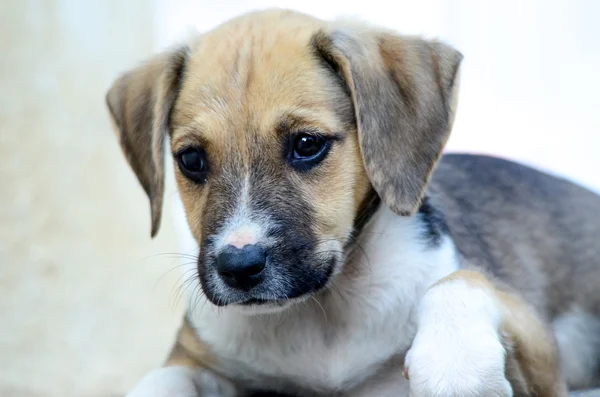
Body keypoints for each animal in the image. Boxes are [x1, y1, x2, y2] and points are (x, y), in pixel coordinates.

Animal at [106, 6, 600, 396]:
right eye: (191, 159)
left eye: (307, 144)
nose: (238, 267)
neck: (324, 314)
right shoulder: (198, 356)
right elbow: (161, 378)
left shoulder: (544, 357)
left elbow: (461, 282)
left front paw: (456, 367)